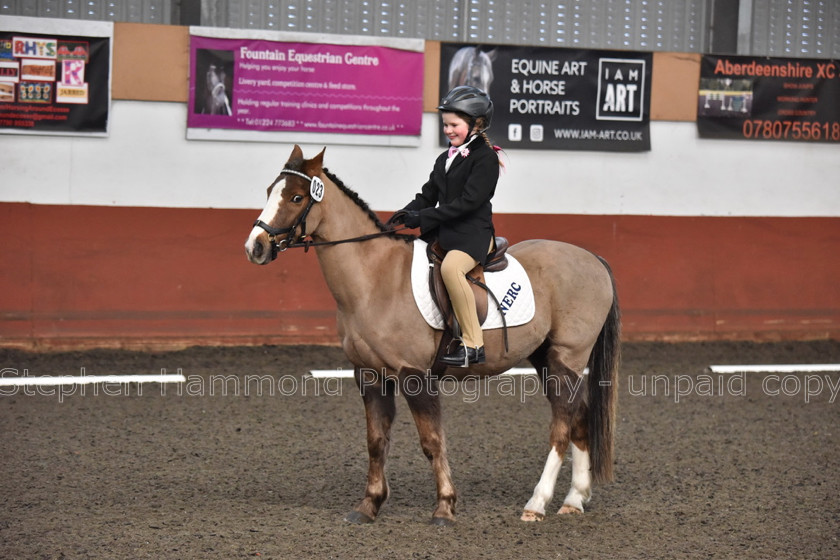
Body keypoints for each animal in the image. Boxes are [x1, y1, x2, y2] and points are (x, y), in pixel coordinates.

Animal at [243, 145, 616, 524]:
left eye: (297, 197)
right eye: (269, 191)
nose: (255, 247)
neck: (375, 278)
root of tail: (593, 259)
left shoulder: (414, 376)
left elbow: (432, 441)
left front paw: (445, 506)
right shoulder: (370, 374)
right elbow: (376, 441)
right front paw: (369, 505)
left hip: (567, 357)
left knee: (562, 424)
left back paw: (537, 504)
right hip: (545, 357)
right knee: (579, 415)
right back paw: (574, 499)